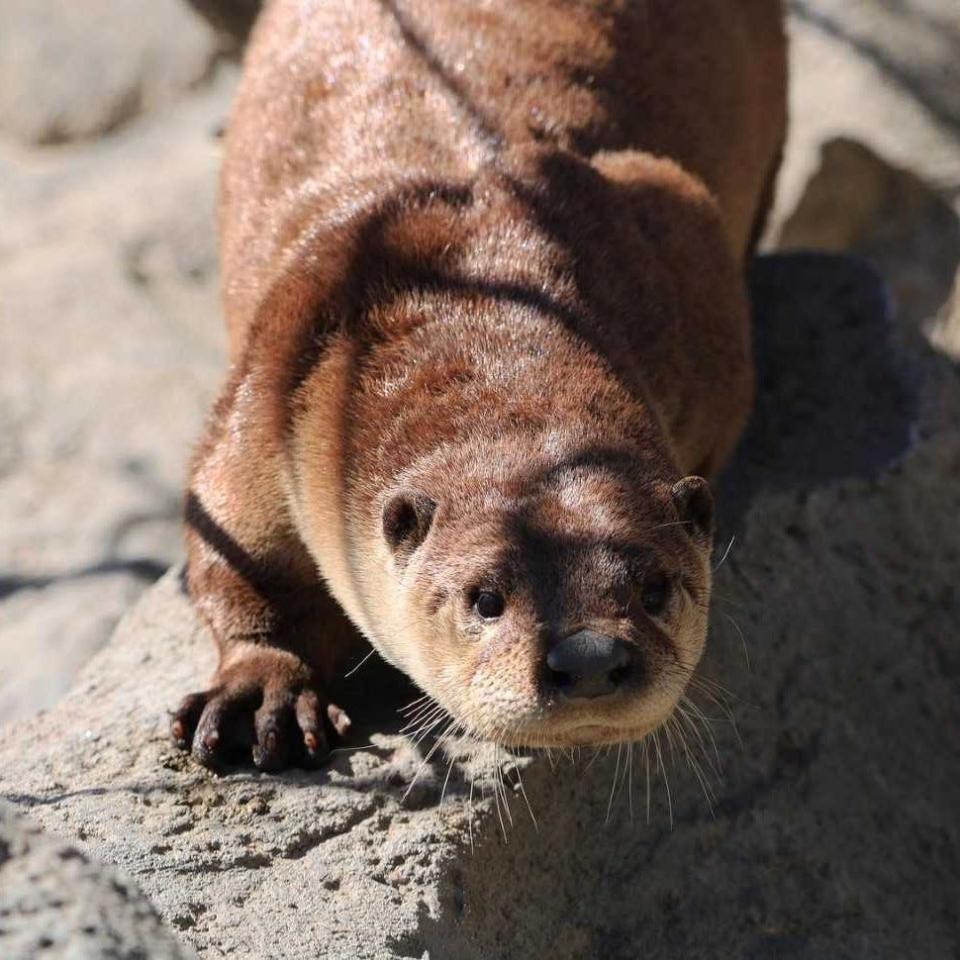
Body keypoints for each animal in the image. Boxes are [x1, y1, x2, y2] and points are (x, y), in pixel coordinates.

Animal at [172, 0, 788, 768]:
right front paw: (260, 691)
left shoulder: (677, 240)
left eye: (655, 589)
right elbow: (237, 544)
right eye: (485, 598)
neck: (481, 289)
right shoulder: (280, 371)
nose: (588, 659)